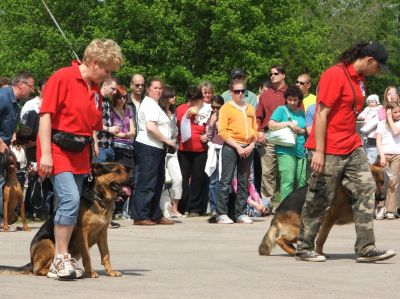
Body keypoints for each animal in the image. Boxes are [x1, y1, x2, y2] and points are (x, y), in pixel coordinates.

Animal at [258, 164, 386, 258]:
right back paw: (294, 251)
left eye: (382, 182)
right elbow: (322, 239)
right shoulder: (328, 221)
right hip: (300, 230)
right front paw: (319, 253)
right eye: (374, 183)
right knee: (279, 239)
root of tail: (278, 211)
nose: (383, 197)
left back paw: (295, 250)